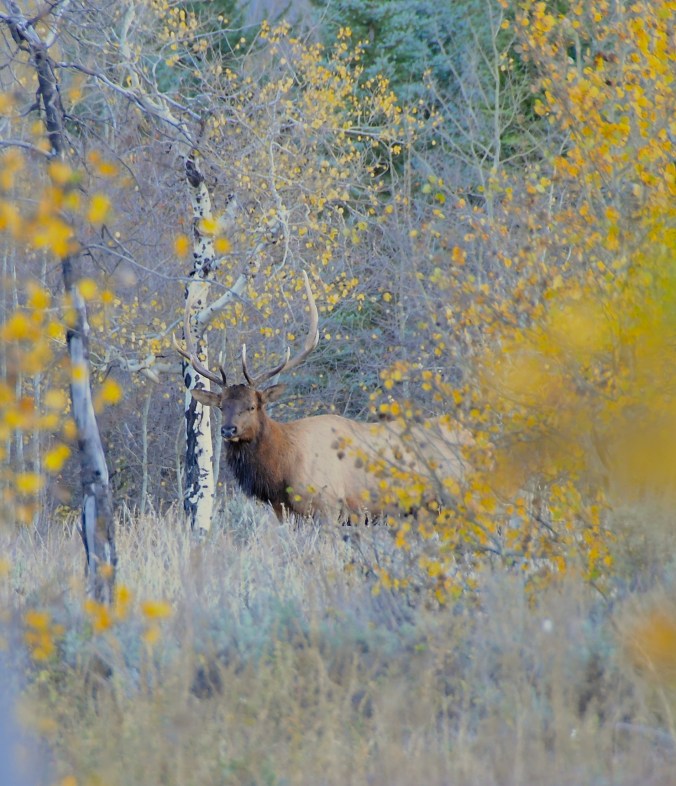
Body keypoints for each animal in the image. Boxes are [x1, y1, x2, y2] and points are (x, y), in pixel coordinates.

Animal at [174, 272, 472, 524]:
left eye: (252, 406)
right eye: (221, 406)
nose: (228, 430)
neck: (282, 472)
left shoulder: (329, 507)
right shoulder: (284, 512)